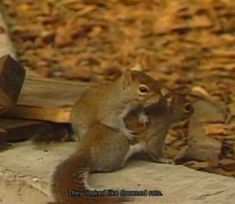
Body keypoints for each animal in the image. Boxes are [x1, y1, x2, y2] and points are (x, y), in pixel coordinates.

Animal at [49, 93, 193, 204]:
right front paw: (165, 160)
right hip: (119, 148)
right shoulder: (157, 134)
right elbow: (154, 151)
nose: (194, 110)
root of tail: (85, 150)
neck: (164, 112)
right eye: (186, 106)